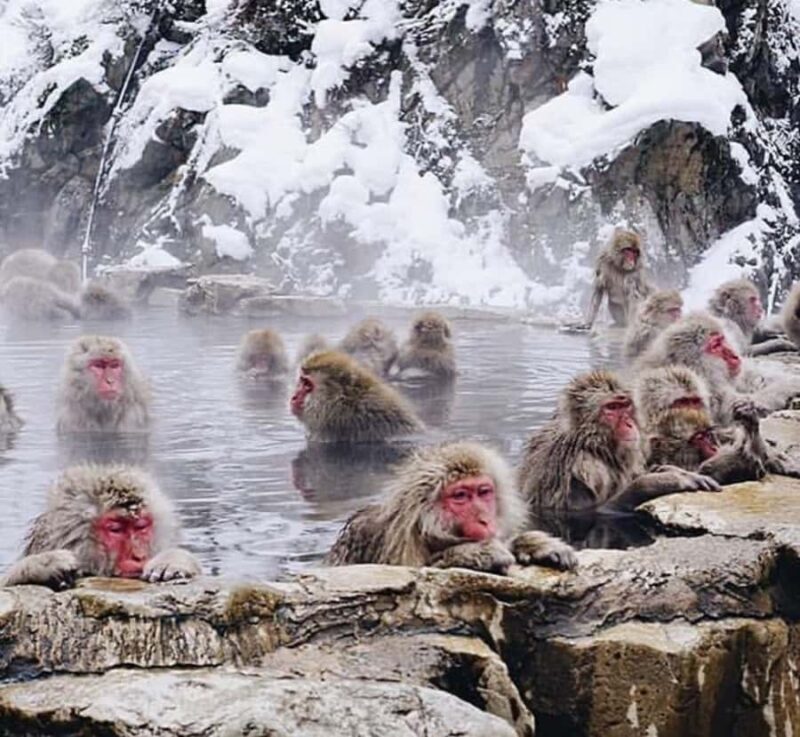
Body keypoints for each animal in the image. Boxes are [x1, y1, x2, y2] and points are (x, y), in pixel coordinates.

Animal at [326, 441, 577, 574]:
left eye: (483, 492)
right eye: (460, 496)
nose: (484, 519)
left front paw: (533, 544)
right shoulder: (373, 539)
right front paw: (474, 553)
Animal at [518, 371, 720, 513]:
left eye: (625, 405)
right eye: (612, 407)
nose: (629, 423)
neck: (590, 443)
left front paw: (667, 470)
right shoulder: (585, 467)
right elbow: (590, 511)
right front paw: (662, 481)